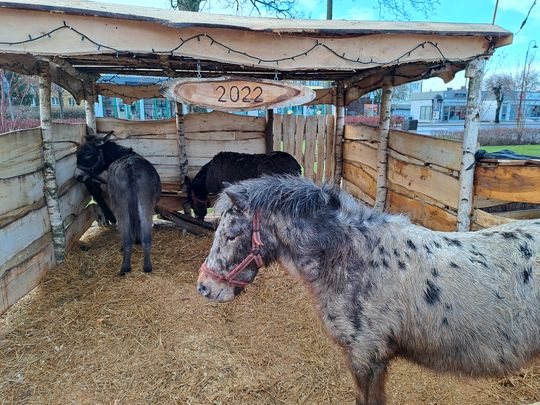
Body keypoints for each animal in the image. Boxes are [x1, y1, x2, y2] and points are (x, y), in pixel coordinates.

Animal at [76, 133, 161, 274]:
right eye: (77, 153)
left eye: (88, 155)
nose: (77, 177)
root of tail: (130, 167)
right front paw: (137, 240)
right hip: (145, 203)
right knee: (146, 235)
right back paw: (146, 266)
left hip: (120, 206)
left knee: (125, 234)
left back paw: (125, 266)